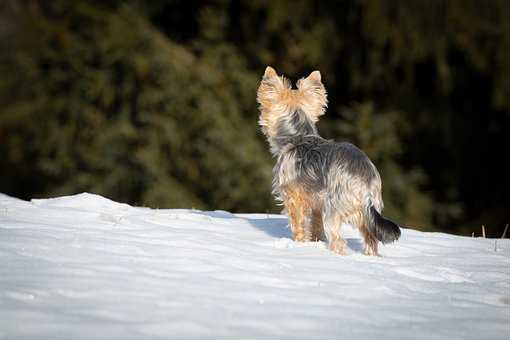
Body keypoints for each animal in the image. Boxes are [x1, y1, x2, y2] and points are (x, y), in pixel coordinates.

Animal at [256, 66, 400, 255]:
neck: (298, 136)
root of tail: (365, 186)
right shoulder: (317, 202)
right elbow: (316, 225)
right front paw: (315, 241)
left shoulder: (293, 197)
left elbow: (298, 224)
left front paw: (298, 244)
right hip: (366, 212)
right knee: (371, 240)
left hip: (333, 209)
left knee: (338, 239)